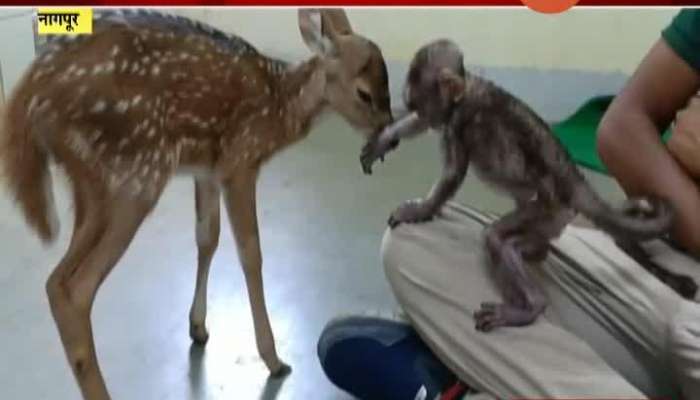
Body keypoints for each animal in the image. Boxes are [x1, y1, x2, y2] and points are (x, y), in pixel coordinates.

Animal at [0, 8, 392, 400]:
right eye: (365, 93)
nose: (388, 132)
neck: (279, 107)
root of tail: (28, 94)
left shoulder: (207, 169)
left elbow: (207, 237)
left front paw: (198, 328)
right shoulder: (239, 161)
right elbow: (251, 253)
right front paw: (273, 359)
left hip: (90, 185)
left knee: (56, 282)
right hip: (136, 172)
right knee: (78, 288)